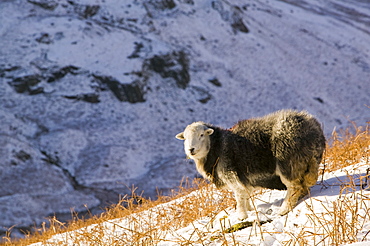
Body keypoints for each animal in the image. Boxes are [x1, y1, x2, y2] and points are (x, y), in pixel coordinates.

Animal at [175, 109, 326, 219]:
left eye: (201, 135)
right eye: (185, 138)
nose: (191, 150)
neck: (216, 146)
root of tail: (314, 129)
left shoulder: (232, 175)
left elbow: (239, 196)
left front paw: (242, 216)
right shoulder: (243, 179)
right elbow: (246, 194)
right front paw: (250, 209)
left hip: (288, 162)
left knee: (294, 187)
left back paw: (283, 210)